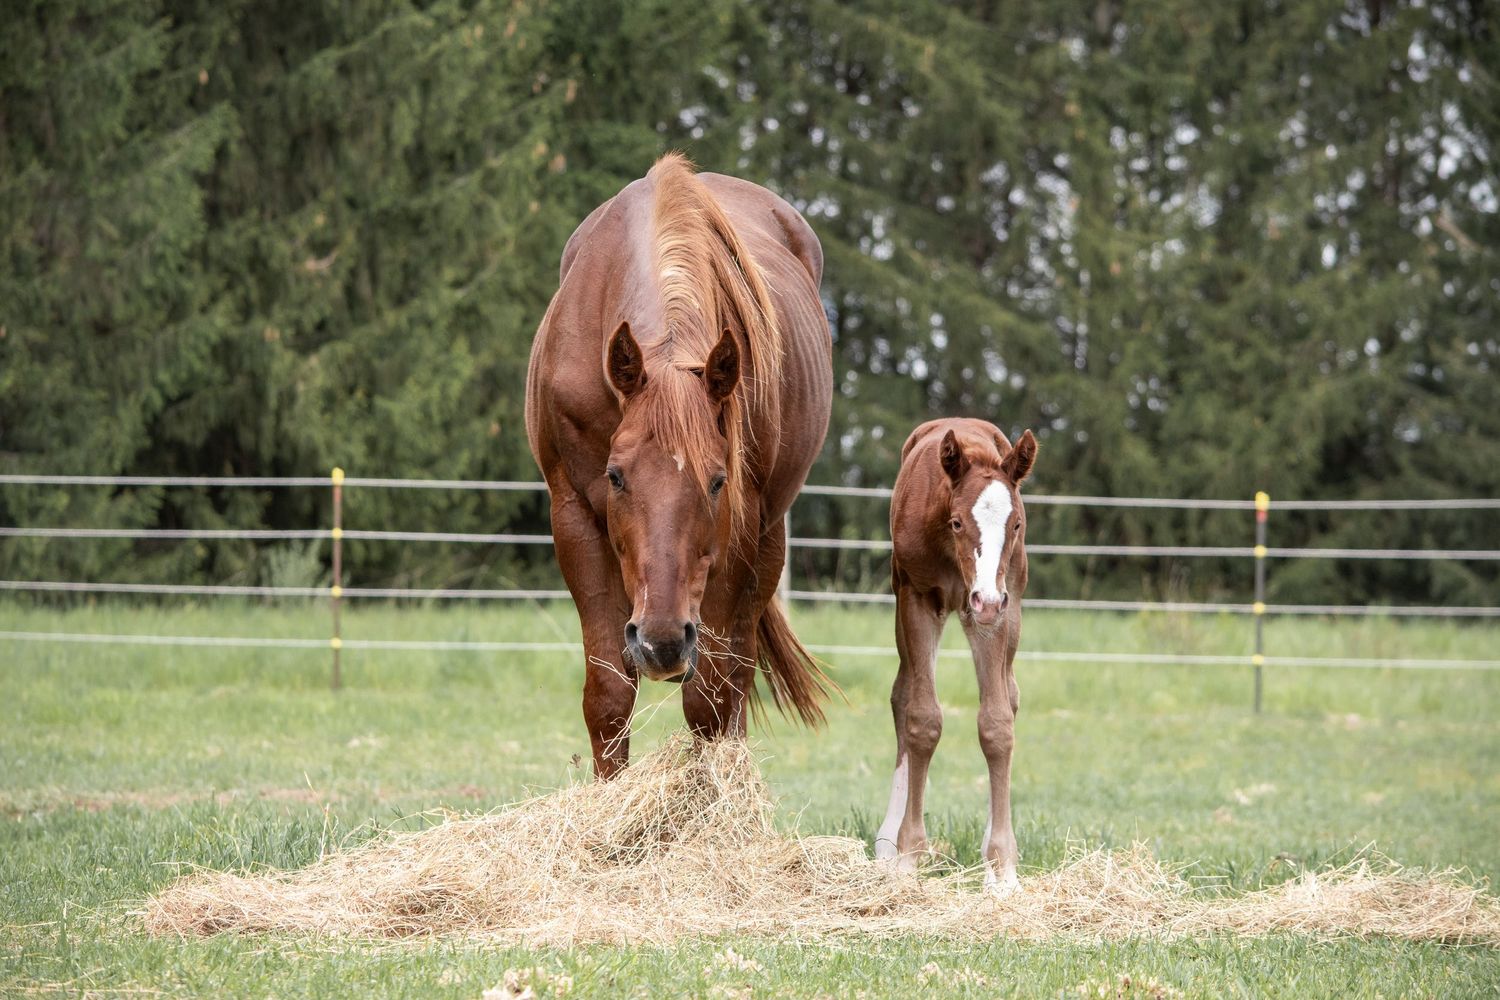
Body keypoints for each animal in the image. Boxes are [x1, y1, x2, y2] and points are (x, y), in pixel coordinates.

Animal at [525, 153, 834, 777]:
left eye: (717, 482)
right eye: (615, 477)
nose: (662, 643)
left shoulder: (739, 533)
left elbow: (710, 700)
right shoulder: (573, 516)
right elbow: (608, 697)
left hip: (767, 546)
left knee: (735, 681)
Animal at [874, 418, 1038, 892]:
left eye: (1015, 524)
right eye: (958, 522)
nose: (986, 599)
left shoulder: (995, 611)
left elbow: (997, 725)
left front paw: (1002, 866)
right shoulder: (918, 601)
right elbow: (922, 719)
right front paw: (909, 854)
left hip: (1010, 606)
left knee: (1010, 695)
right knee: (902, 695)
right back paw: (887, 841)